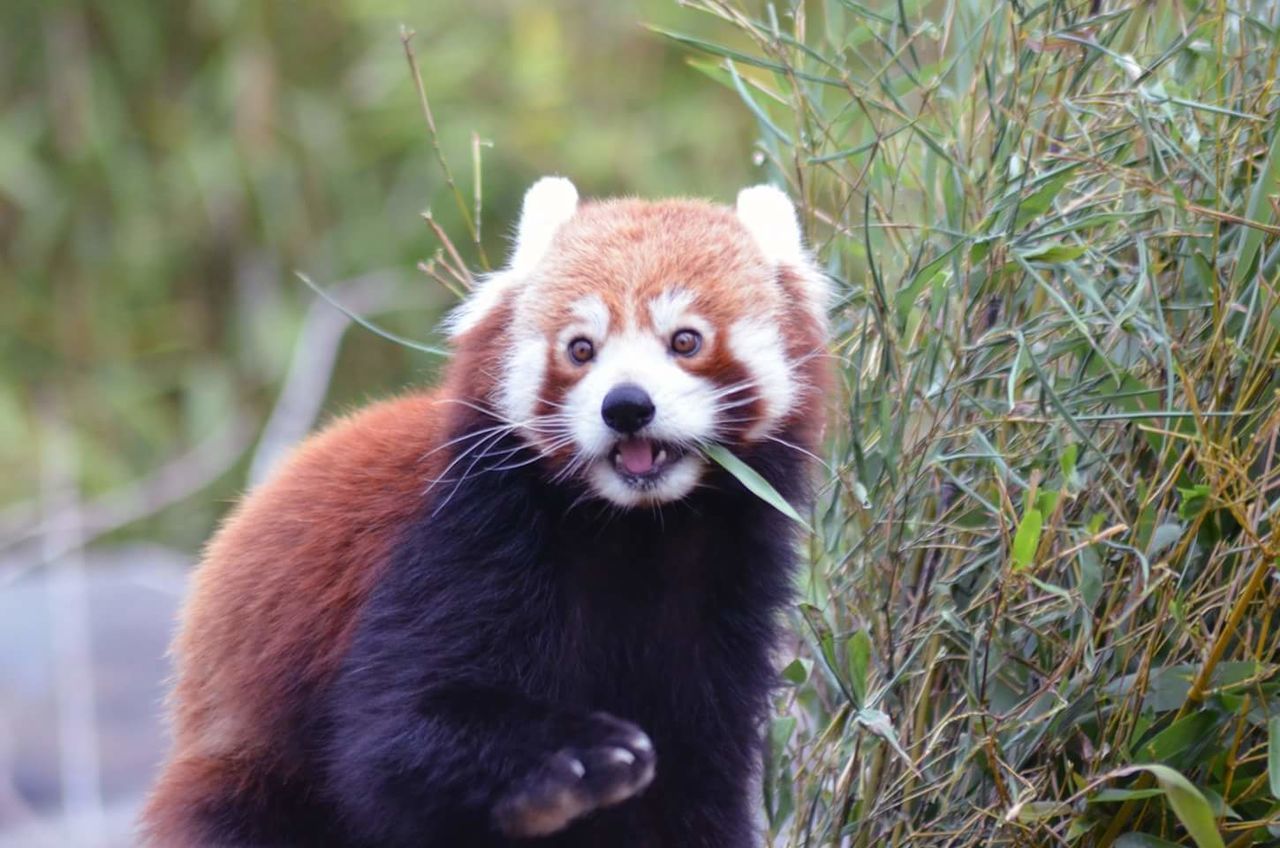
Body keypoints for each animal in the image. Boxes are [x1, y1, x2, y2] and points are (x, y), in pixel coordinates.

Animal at [142, 175, 829, 845]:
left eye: (685, 340)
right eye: (581, 349)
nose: (626, 406)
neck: (634, 527)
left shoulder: (722, 592)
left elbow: (695, 782)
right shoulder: (463, 536)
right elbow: (388, 736)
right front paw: (571, 761)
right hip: (248, 776)